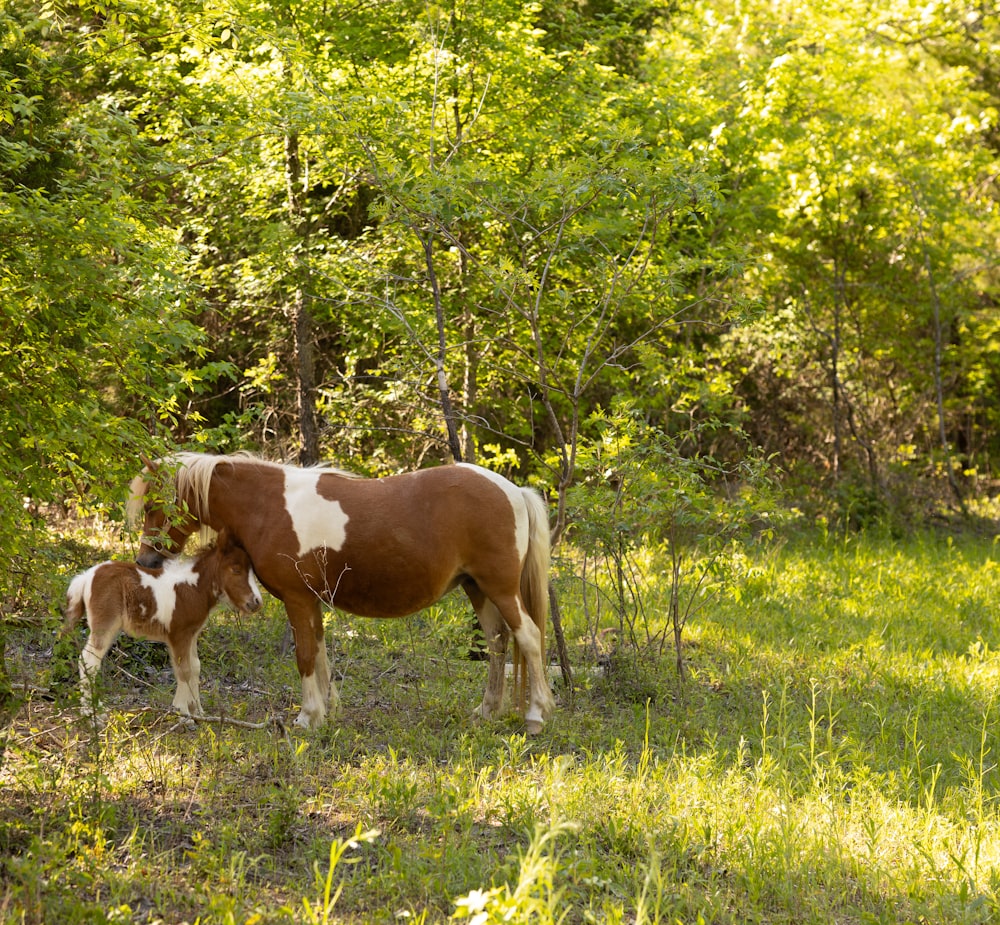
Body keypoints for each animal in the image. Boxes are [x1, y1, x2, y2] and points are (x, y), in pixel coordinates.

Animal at [63, 528, 262, 716]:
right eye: (236, 570)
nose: (257, 602)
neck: (193, 588)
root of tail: (87, 576)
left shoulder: (191, 634)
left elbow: (195, 667)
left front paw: (198, 711)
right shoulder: (178, 634)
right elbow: (184, 670)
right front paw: (182, 711)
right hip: (104, 624)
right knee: (88, 660)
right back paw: (91, 712)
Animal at [125, 452, 556, 732]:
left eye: (154, 502)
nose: (146, 560)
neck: (266, 505)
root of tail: (512, 491)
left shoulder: (297, 599)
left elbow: (304, 655)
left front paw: (306, 718)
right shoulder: (311, 601)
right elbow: (319, 651)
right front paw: (326, 711)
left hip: (500, 588)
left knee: (529, 637)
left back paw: (536, 715)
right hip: (477, 588)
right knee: (498, 643)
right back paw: (487, 710)